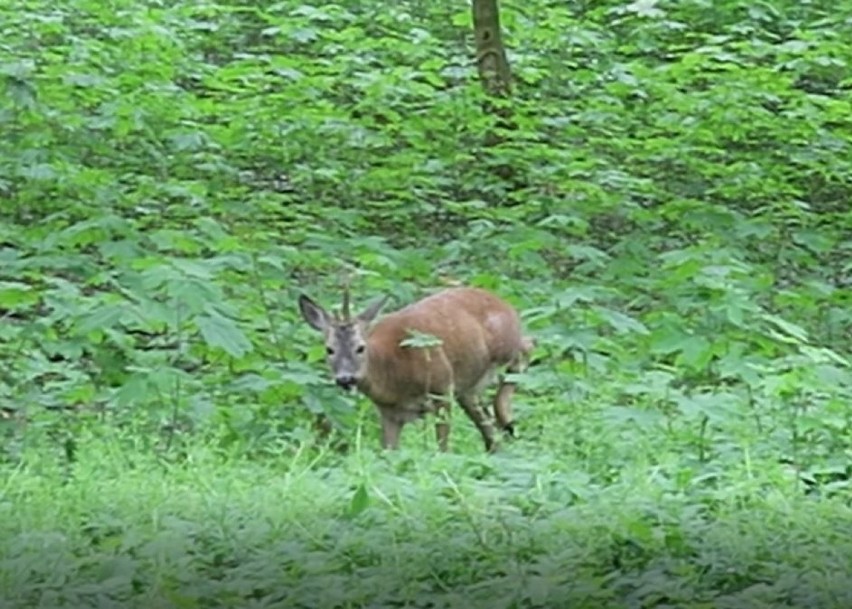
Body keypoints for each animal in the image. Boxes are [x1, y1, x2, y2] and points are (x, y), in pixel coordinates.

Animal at [298, 284, 532, 452]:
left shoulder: (441, 387)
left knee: (529, 344)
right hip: (467, 386)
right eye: (329, 349)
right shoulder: (389, 412)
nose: (345, 379)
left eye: (360, 347)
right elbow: (389, 453)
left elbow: (442, 448)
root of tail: (504, 302)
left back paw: (505, 415)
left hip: (505, 344)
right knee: (483, 418)